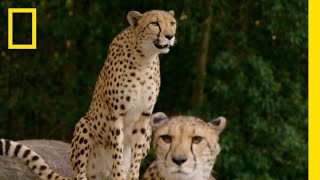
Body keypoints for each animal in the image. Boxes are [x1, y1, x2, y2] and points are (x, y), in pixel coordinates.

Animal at [0, 9, 176, 180]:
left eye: (172, 23)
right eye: (154, 23)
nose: (170, 36)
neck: (144, 58)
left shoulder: (144, 116)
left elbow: (136, 156)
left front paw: (131, 176)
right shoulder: (116, 114)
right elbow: (117, 152)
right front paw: (119, 175)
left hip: (147, 130)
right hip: (84, 124)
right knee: (81, 172)